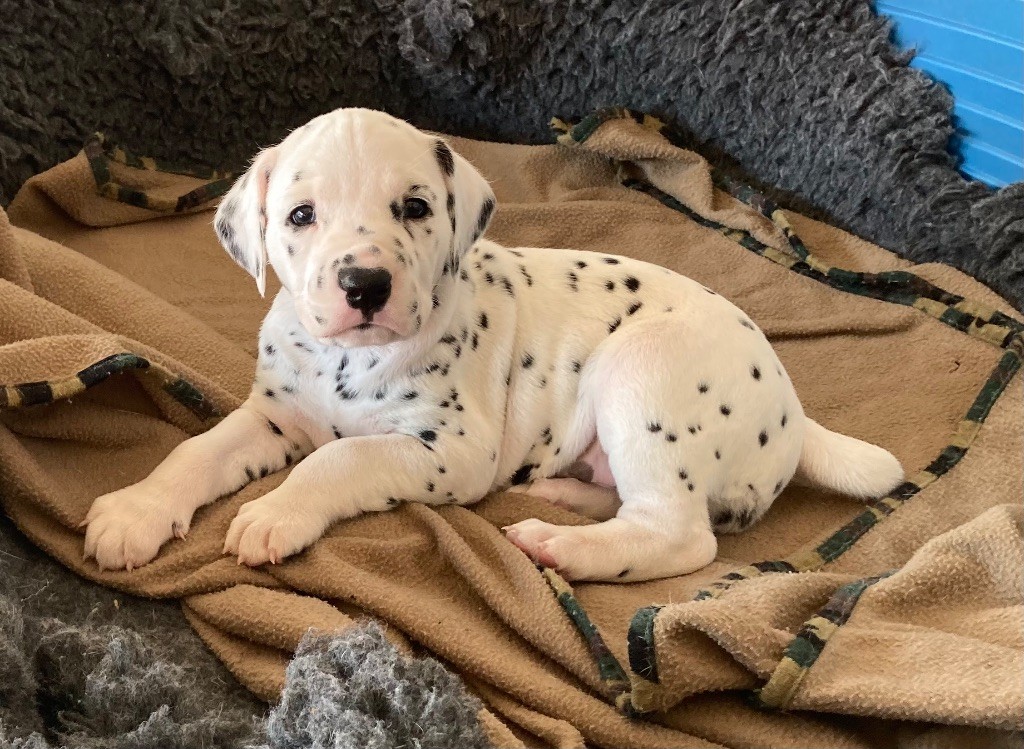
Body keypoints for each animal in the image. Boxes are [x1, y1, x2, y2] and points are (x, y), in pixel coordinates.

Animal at [81, 108, 905, 581]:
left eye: (414, 208)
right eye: (301, 215)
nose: (364, 284)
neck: (353, 360)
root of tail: (797, 415)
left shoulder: (450, 449)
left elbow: (340, 457)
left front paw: (275, 512)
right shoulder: (274, 415)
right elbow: (198, 452)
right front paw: (136, 509)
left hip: (642, 372)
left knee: (680, 536)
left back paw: (561, 546)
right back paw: (563, 492)